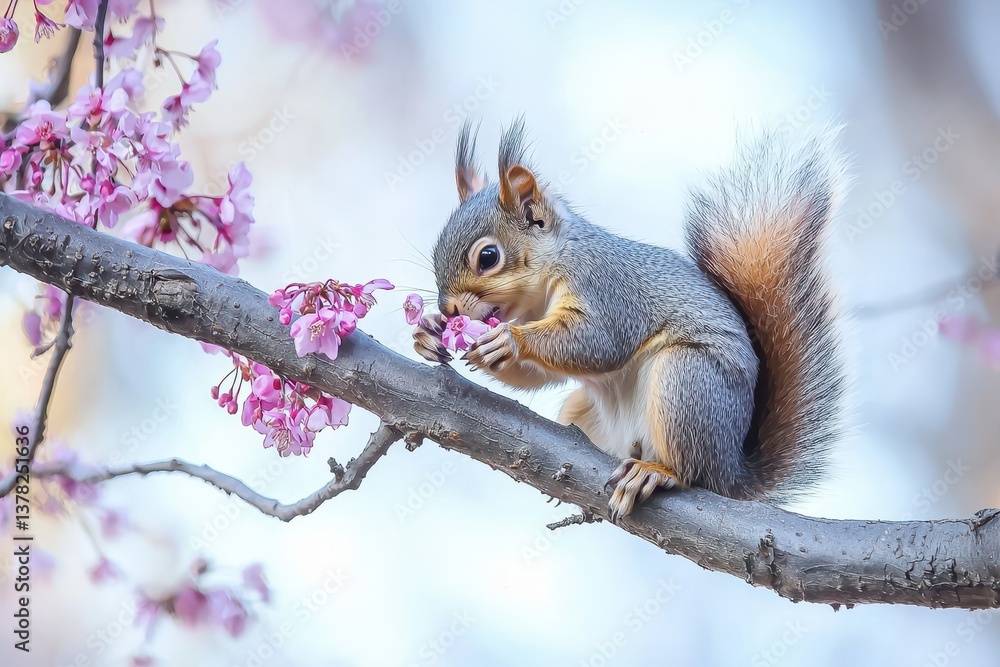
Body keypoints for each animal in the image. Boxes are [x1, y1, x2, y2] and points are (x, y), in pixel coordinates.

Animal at [413, 119, 846, 521]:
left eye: (488, 257)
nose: (449, 311)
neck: (547, 282)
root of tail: (731, 472)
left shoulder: (606, 288)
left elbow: (598, 342)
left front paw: (508, 340)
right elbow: (538, 375)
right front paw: (427, 335)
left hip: (687, 383)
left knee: (692, 472)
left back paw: (657, 473)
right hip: (590, 413)